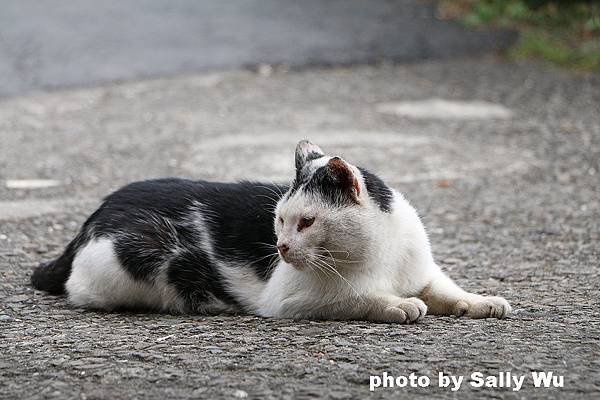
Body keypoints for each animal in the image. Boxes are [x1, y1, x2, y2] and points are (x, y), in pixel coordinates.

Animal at [31, 141, 510, 322]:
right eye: (279, 220)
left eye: (307, 221)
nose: (279, 247)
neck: (381, 256)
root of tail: (99, 211)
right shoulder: (291, 300)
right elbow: (356, 297)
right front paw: (398, 305)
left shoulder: (423, 272)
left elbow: (446, 289)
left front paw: (482, 301)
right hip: (135, 263)